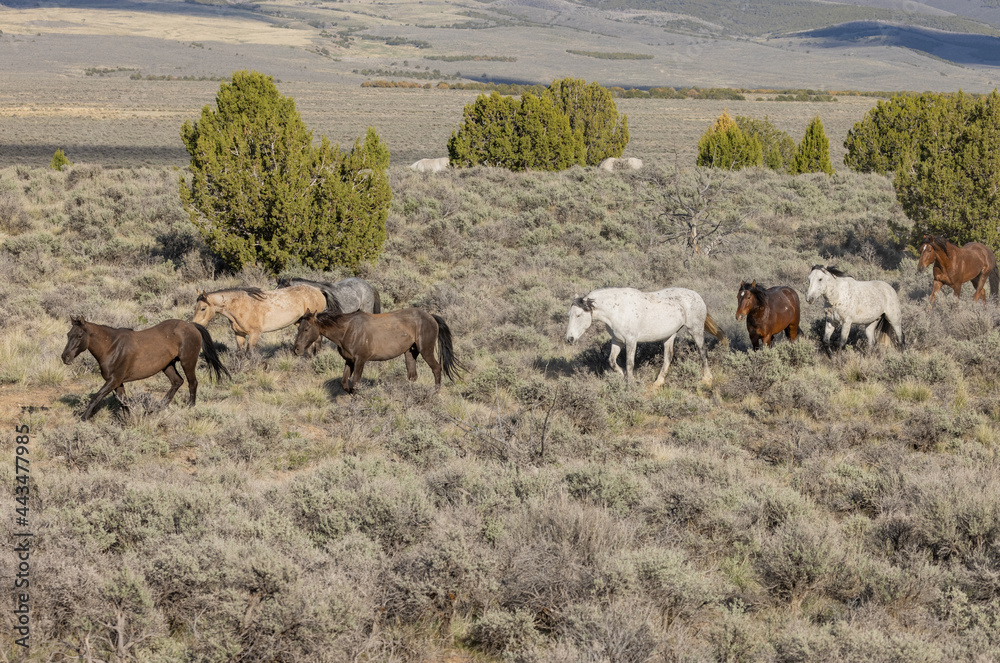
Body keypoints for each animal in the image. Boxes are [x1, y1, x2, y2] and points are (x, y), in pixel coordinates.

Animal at [61, 316, 229, 420]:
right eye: (68, 334)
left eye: (79, 336)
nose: (65, 357)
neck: (112, 347)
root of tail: (191, 325)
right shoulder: (118, 382)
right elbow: (123, 402)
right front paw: (128, 419)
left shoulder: (113, 380)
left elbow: (96, 397)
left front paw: (83, 418)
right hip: (167, 365)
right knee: (177, 382)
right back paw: (158, 408)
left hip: (187, 362)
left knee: (192, 383)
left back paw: (190, 406)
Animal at [190, 286, 324, 358]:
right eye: (195, 307)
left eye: (203, 308)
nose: (195, 326)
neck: (240, 306)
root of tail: (318, 290)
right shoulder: (239, 334)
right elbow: (240, 353)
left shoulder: (254, 334)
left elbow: (249, 353)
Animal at [292, 310, 464, 396]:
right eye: (298, 327)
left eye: (306, 329)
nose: (297, 350)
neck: (348, 330)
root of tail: (431, 317)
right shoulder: (349, 361)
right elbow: (344, 383)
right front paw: (350, 394)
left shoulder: (360, 360)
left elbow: (355, 383)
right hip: (410, 353)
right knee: (412, 376)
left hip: (425, 350)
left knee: (436, 368)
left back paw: (435, 393)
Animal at [568, 286, 724, 390]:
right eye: (569, 315)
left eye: (578, 315)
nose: (569, 339)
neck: (618, 310)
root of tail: (697, 296)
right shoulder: (617, 341)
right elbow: (612, 361)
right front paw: (624, 377)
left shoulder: (631, 341)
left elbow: (629, 364)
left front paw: (631, 384)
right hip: (669, 336)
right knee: (668, 357)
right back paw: (658, 383)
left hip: (695, 330)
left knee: (702, 352)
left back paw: (707, 379)